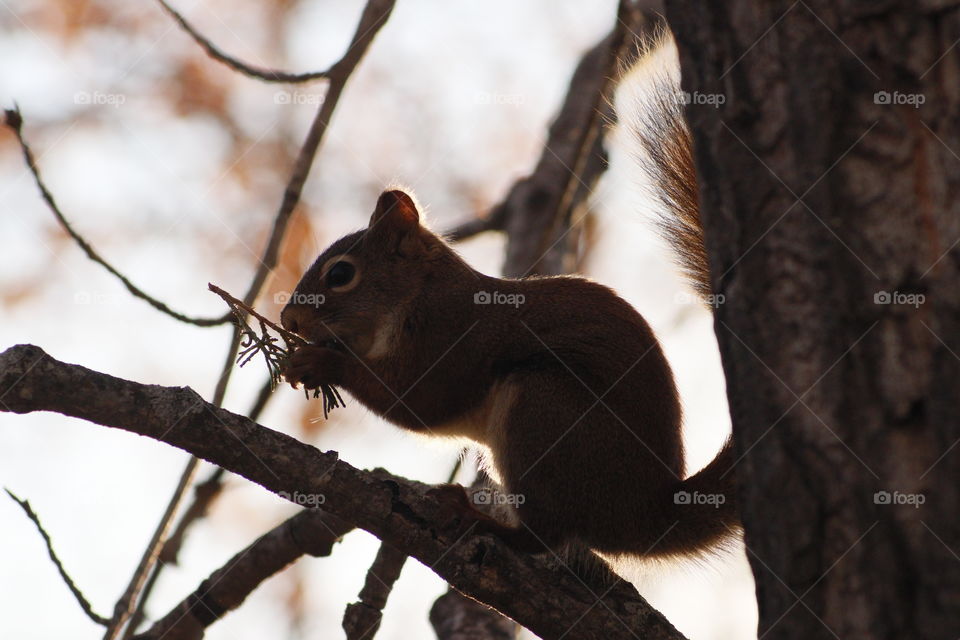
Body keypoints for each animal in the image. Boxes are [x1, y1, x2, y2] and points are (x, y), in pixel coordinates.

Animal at [280, 40, 738, 560]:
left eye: (341, 274)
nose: (288, 319)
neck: (419, 294)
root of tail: (645, 518)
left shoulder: (450, 336)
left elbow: (416, 398)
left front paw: (322, 362)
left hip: (543, 410)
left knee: (544, 536)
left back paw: (479, 520)